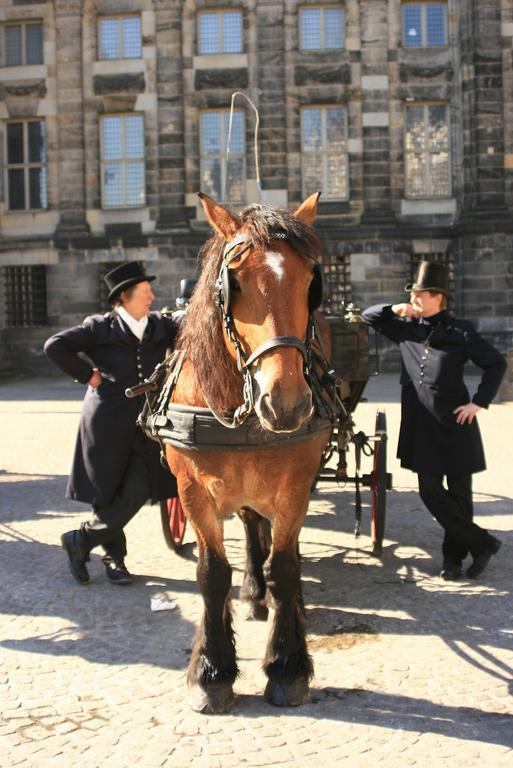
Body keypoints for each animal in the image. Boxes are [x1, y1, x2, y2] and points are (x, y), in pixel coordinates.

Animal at [164, 192, 332, 712]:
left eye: (312, 283)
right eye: (232, 283)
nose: (287, 402)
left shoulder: (295, 484)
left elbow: (286, 566)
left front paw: (287, 665)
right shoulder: (192, 490)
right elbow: (211, 574)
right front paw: (212, 672)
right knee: (251, 525)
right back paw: (253, 591)